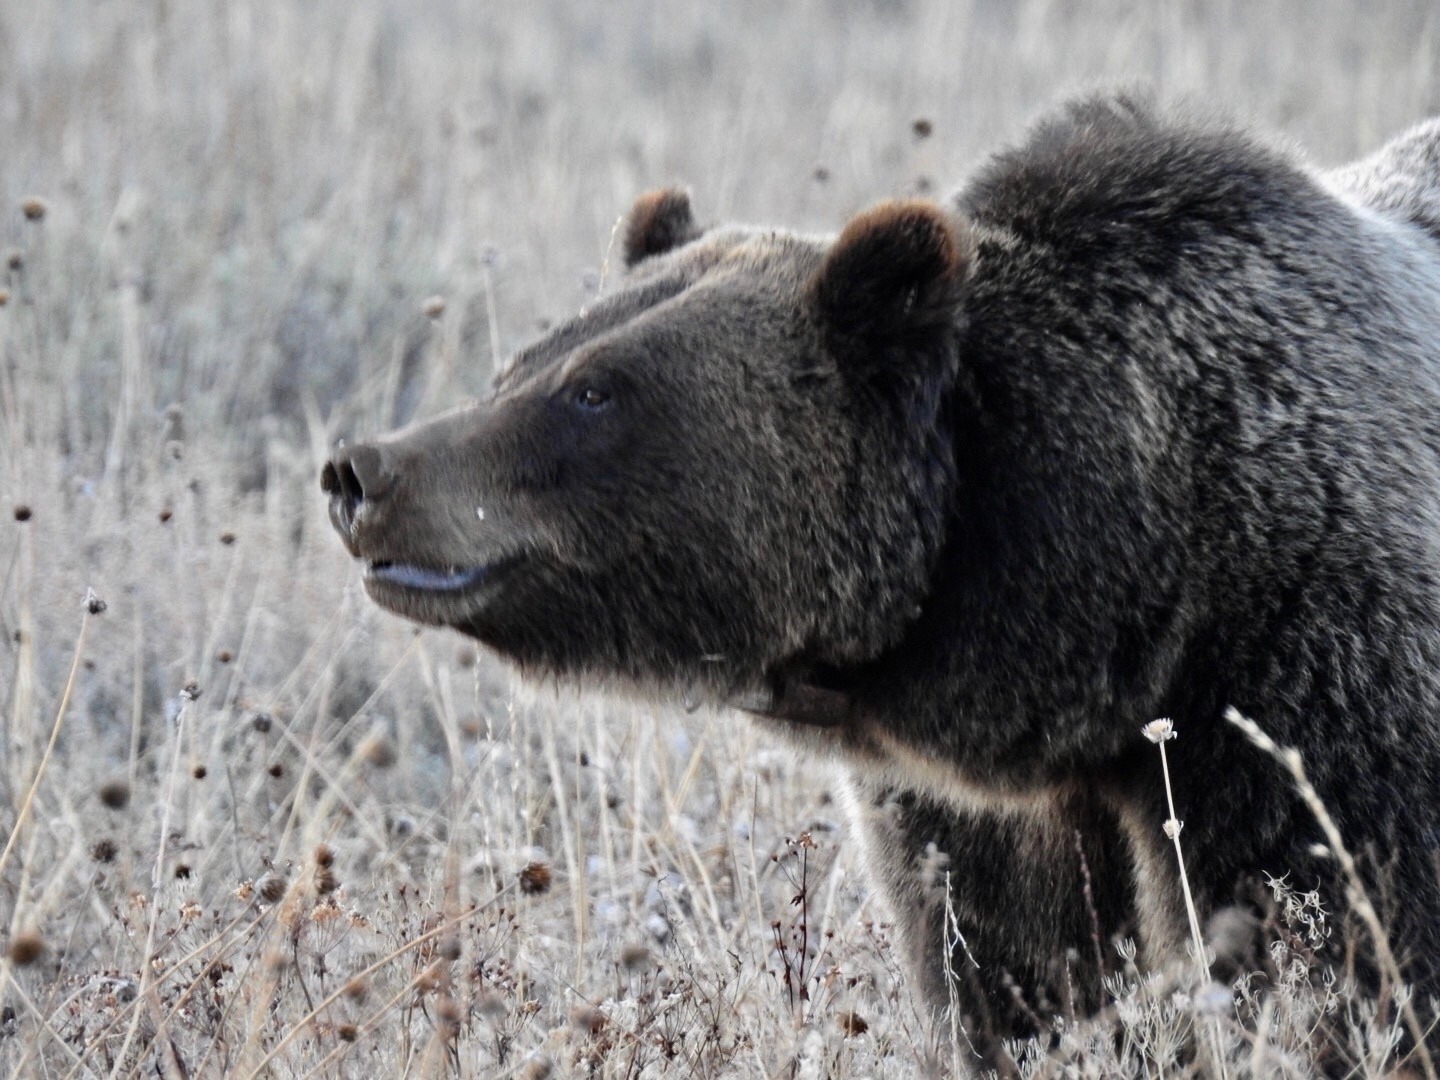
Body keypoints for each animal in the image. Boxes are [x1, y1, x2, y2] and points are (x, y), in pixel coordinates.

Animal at [326, 95, 1440, 1077]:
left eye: (595, 390)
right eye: (522, 363)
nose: (362, 472)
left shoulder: (1304, 693)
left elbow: (1333, 957)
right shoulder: (983, 814)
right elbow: (1012, 976)